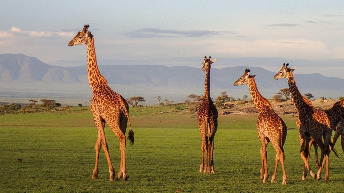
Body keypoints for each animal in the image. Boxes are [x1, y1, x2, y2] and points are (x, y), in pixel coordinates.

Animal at [68, 24, 134, 181]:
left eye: (80, 36)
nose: (70, 43)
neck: (95, 85)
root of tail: (123, 104)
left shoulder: (96, 116)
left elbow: (104, 143)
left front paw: (111, 173)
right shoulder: (101, 119)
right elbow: (98, 144)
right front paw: (95, 173)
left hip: (112, 120)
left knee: (121, 137)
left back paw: (122, 173)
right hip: (122, 120)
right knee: (123, 140)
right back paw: (122, 173)